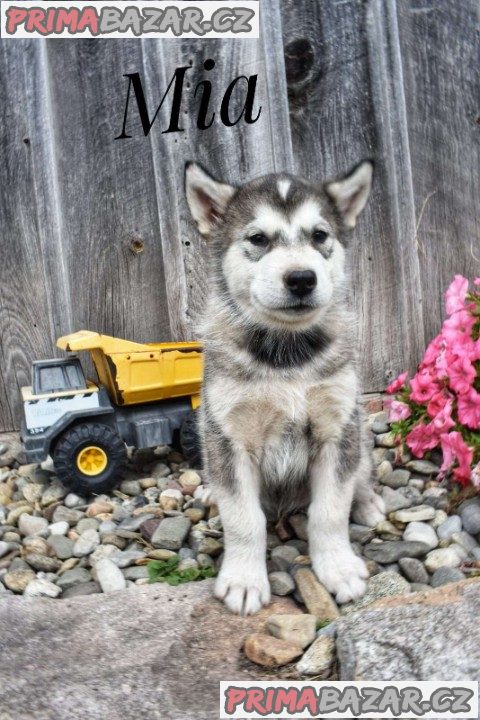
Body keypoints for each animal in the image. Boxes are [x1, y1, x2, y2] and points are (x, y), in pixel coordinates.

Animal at [185, 162, 386, 612]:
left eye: (320, 236)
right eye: (258, 239)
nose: (301, 279)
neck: (287, 355)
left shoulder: (336, 429)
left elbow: (329, 511)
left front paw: (338, 568)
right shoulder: (229, 436)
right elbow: (243, 518)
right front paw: (244, 580)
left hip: (359, 433)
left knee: (362, 473)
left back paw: (368, 504)